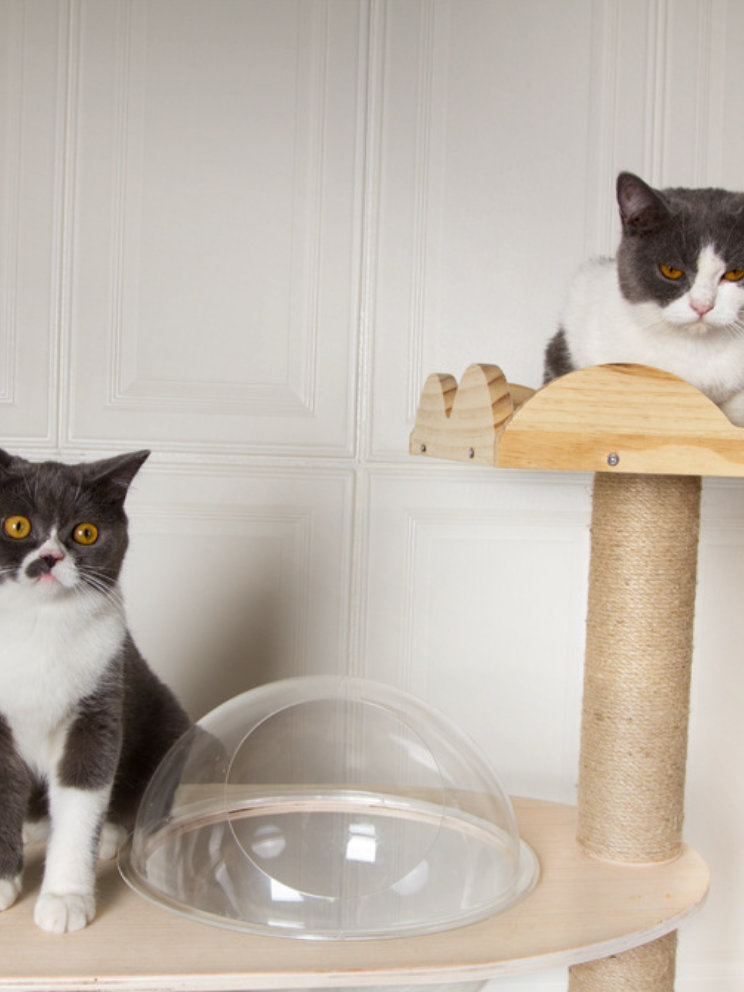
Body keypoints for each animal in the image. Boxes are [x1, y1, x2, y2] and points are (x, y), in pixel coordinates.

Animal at [0, 450, 189, 928]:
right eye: (17, 525)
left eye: (85, 533)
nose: (50, 558)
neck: (38, 625)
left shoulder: (100, 698)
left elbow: (84, 789)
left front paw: (66, 897)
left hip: (168, 724)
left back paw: (110, 833)